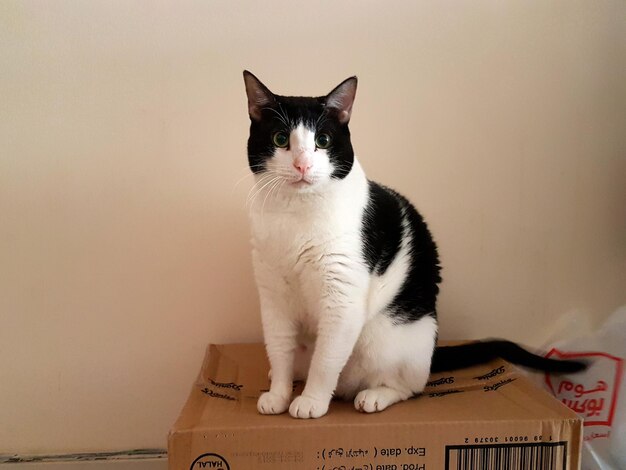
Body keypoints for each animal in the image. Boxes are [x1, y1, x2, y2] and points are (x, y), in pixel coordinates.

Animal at [241, 70, 584, 418]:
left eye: (322, 141)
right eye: (280, 139)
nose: (302, 165)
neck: (296, 213)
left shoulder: (341, 300)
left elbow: (325, 361)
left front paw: (312, 400)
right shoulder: (273, 297)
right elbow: (279, 348)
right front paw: (279, 394)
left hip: (384, 337)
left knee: (409, 387)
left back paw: (373, 396)